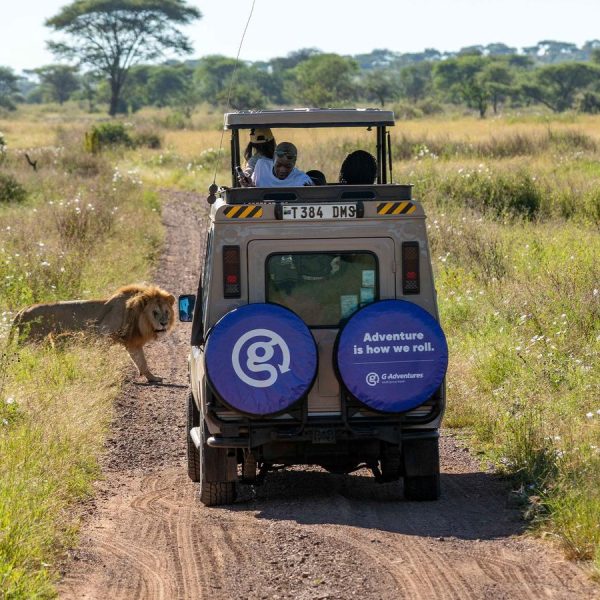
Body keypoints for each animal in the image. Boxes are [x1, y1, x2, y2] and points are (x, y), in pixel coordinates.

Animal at [12, 284, 176, 382]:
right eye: (155, 313)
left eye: (166, 312)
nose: (163, 323)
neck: (138, 318)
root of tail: (23, 310)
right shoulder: (102, 334)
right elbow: (102, 357)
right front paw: (100, 371)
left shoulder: (133, 344)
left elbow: (142, 361)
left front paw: (152, 378)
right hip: (30, 343)